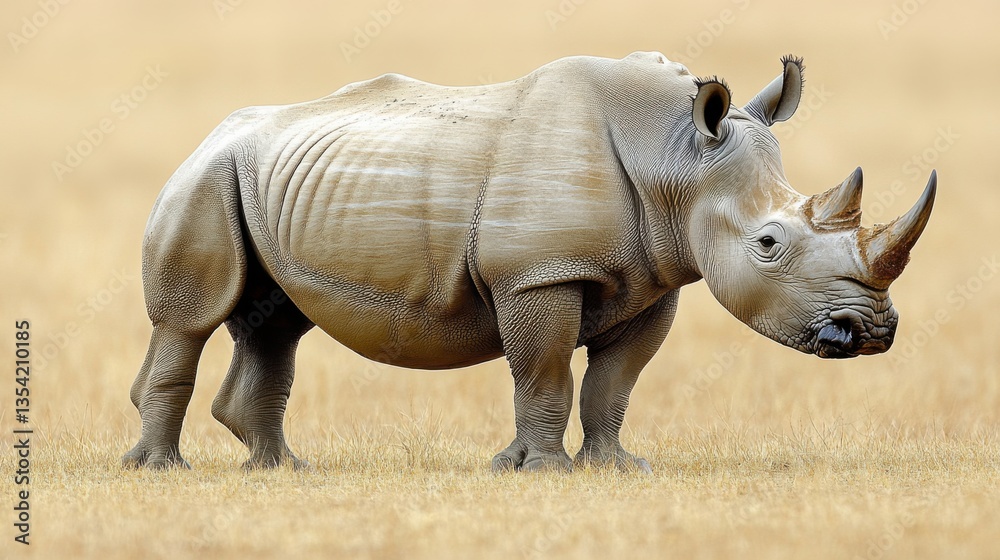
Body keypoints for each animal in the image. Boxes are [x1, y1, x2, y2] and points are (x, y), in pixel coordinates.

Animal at [123, 52, 935, 473]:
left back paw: (279, 472)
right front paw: (544, 472)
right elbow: (543, 373)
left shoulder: (653, 279)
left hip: (261, 182)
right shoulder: (539, 273)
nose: (869, 334)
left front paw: (613, 469)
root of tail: (216, 131)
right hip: (205, 177)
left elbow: (612, 384)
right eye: (769, 245)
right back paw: (163, 471)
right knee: (192, 320)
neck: (676, 159)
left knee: (276, 323)